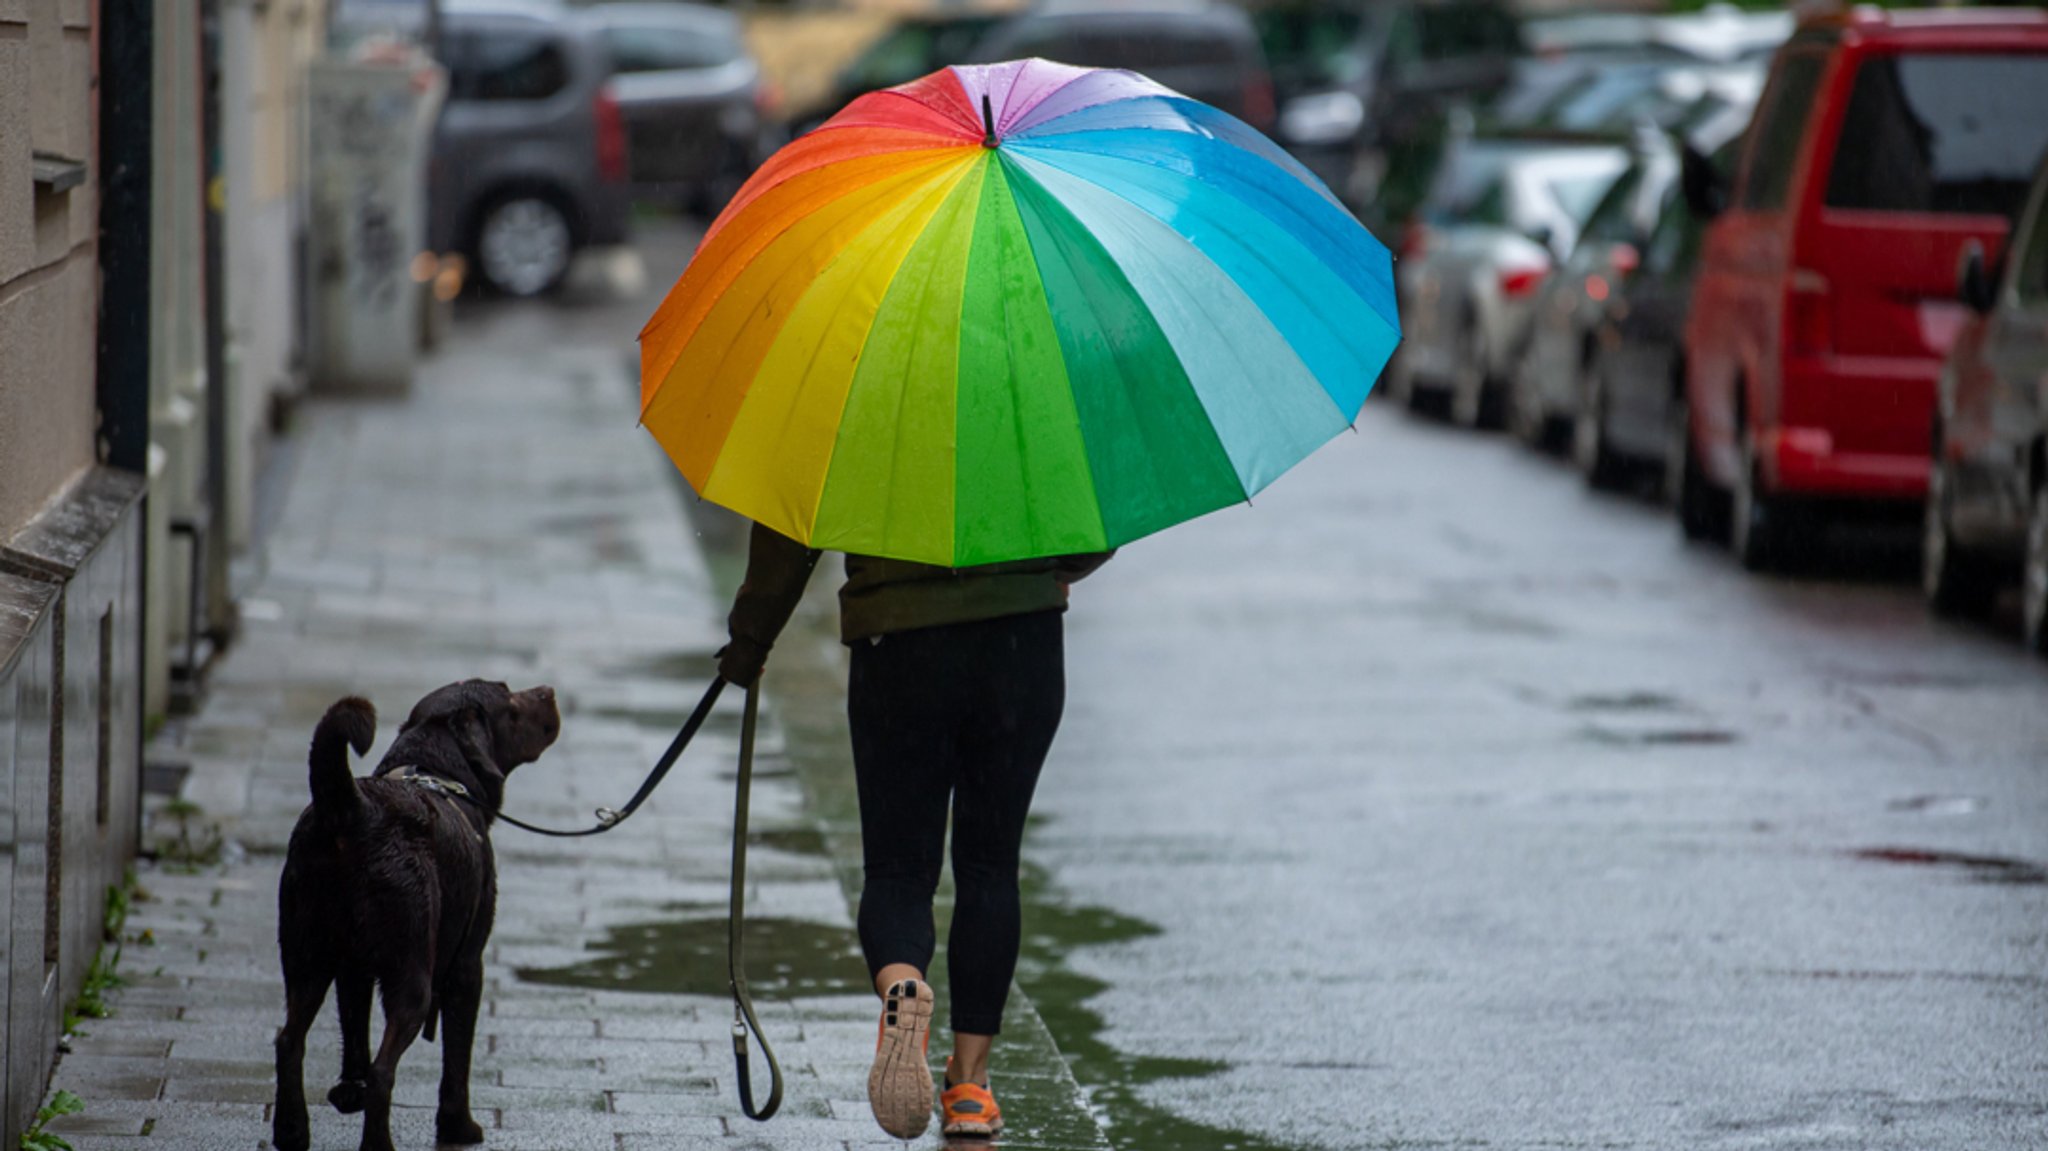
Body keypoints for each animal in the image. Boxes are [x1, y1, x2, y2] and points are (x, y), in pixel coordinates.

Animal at [272, 675, 565, 1146]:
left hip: (306, 958)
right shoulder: (467, 965)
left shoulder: (354, 969)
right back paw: (377, 1143)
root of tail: (352, 809)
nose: (549, 690)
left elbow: (354, 1026)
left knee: (288, 1042)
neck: (437, 771)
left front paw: (347, 1090)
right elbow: (457, 1055)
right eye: (508, 696)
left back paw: (292, 1131)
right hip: (411, 975)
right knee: (383, 1070)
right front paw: (458, 1125)